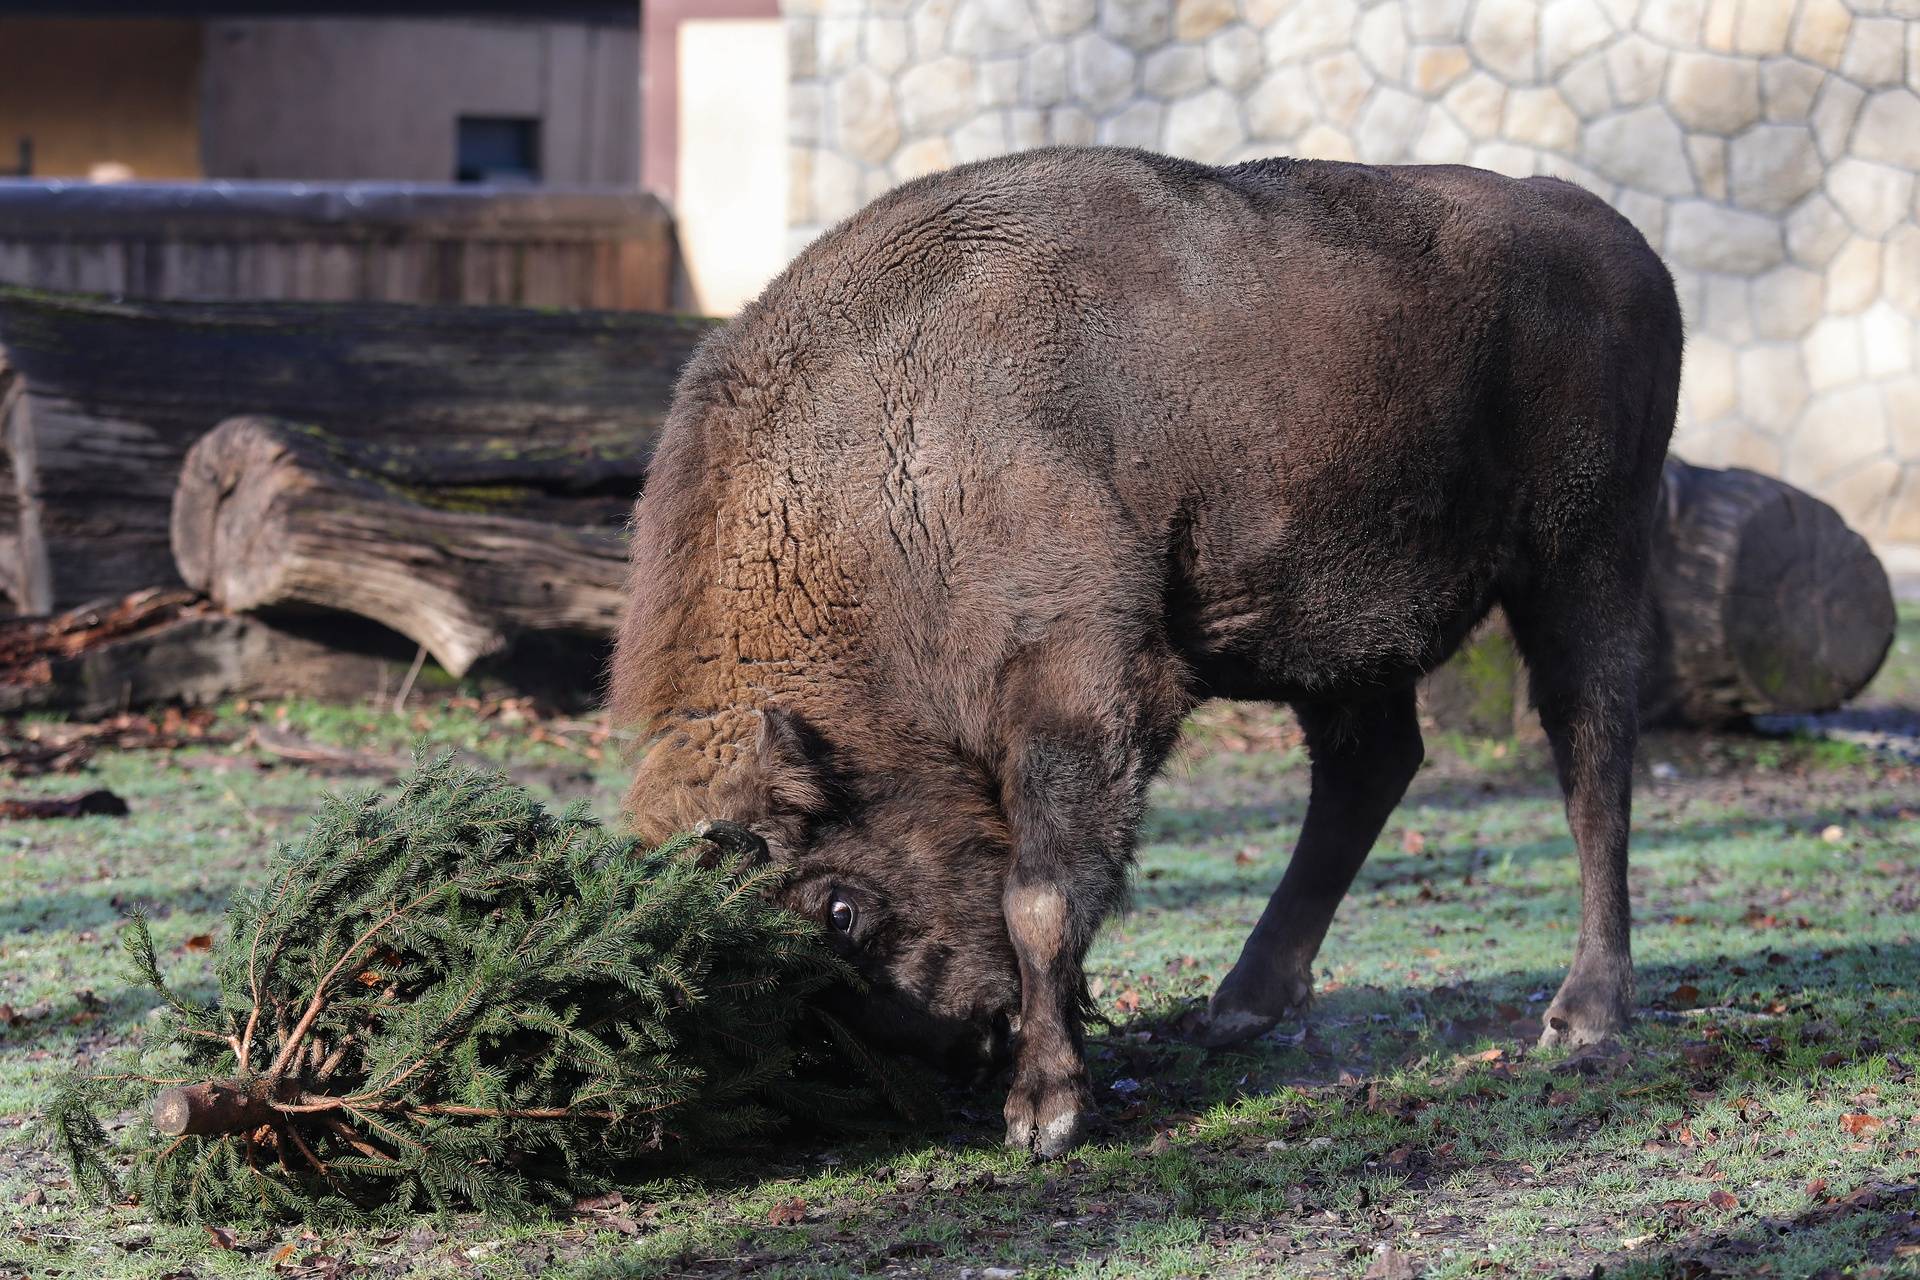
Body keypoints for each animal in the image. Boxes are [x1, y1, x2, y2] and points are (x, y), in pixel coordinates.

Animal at [614, 144, 1681, 1159]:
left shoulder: (1081, 687)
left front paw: (1045, 1113)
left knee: (1591, 753)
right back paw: (1241, 1004)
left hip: (1584, 560)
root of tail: (1627, 246)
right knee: (1370, 768)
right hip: (1334, 628)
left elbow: (1040, 897)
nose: (956, 1048)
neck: (875, 488)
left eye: (839, 913)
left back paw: (1585, 1015)